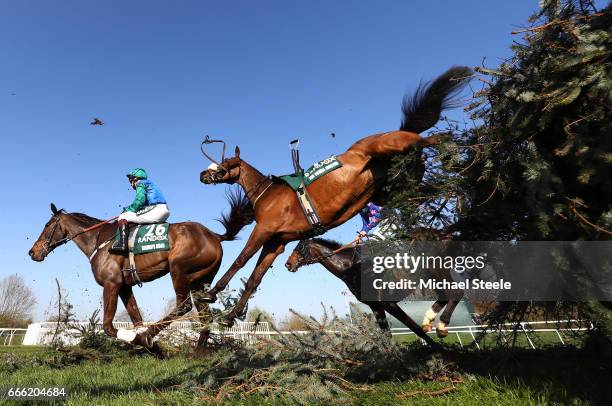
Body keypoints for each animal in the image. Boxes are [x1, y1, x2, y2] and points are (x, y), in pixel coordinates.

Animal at [28, 190, 253, 348]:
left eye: (47, 225)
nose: (32, 252)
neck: (98, 240)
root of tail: (214, 236)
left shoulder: (111, 284)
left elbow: (108, 327)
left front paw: (139, 339)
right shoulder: (124, 286)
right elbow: (136, 317)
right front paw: (146, 344)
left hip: (179, 270)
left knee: (183, 306)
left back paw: (150, 336)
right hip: (200, 281)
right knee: (205, 317)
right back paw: (198, 352)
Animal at [198, 66, 470, 326]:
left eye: (225, 164)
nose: (203, 174)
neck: (268, 194)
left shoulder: (264, 230)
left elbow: (240, 261)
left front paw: (210, 294)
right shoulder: (276, 242)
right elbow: (254, 279)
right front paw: (230, 316)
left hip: (394, 148)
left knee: (436, 138)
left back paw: (455, 154)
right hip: (395, 188)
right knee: (436, 188)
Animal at [284, 238, 462, 346]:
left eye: (299, 247)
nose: (288, 264)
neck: (351, 269)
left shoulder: (387, 304)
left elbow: (412, 326)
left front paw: (438, 349)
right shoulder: (375, 306)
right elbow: (387, 333)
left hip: (439, 275)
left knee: (456, 294)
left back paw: (441, 326)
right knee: (446, 297)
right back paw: (430, 320)